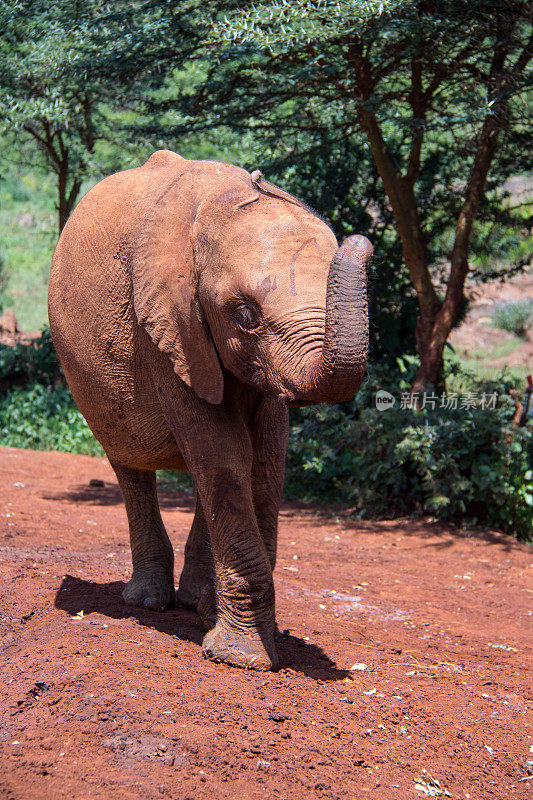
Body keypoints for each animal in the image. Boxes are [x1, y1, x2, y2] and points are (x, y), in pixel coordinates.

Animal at [48, 150, 370, 668]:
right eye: (244, 315)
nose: (362, 242)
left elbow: (263, 460)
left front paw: (237, 638)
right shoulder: (167, 327)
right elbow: (223, 452)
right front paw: (241, 659)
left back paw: (196, 604)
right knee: (131, 466)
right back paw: (148, 602)